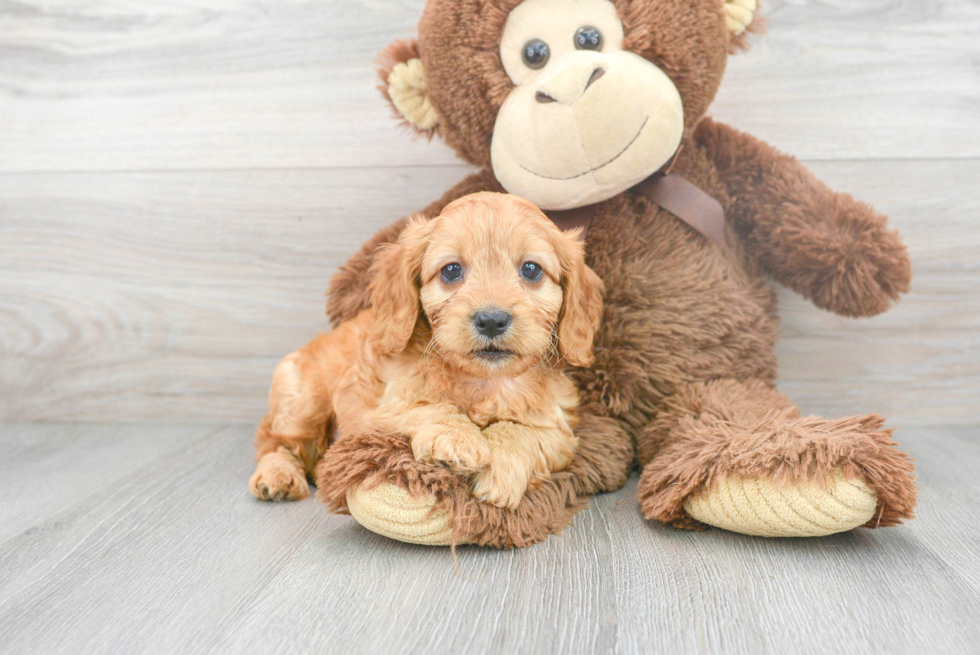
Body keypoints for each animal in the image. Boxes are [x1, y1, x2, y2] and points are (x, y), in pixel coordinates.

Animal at [249, 192, 600, 510]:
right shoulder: (378, 411)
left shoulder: (558, 431)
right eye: (451, 271)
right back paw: (277, 476)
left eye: (531, 269)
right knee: (275, 442)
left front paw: (500, 470)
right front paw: (457, 440)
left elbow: (520, 430)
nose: (491, 320)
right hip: (303, 402)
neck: (483, 381)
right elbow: (432, 408)